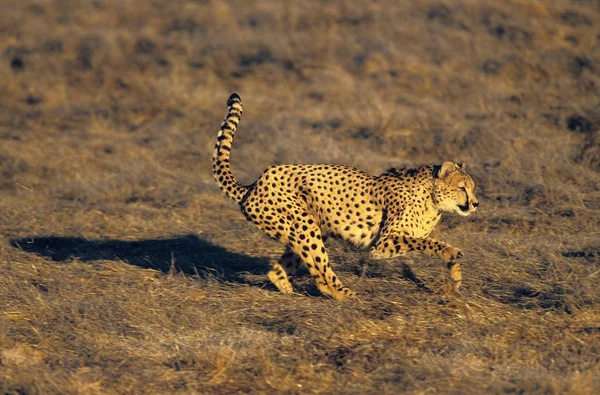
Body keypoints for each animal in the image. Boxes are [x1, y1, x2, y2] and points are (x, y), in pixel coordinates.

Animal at [211, 94, 478, 302]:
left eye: (473, 188)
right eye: (463, 188)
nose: (475, 203)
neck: (433, 200)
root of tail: (255, 183)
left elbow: (429, 244)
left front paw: (454, 278)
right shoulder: (383, 243)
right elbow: (426, 242)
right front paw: (451, 253)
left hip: (307, 226)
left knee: (278, 270)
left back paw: (288, 289)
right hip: (305, 225)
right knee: (321, 275)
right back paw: (346, 295)